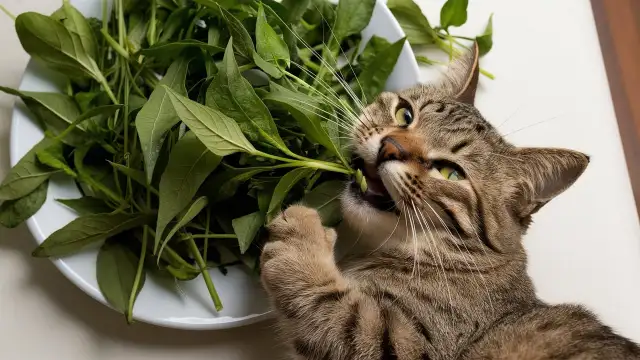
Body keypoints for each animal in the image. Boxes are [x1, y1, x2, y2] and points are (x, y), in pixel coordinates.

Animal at [258, 43, 640, 360]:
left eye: (450, 172)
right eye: (405, 115)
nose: (389, 147)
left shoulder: (401, 343)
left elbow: (334, 308)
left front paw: (303, 236)